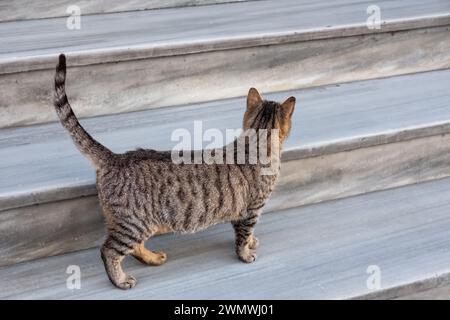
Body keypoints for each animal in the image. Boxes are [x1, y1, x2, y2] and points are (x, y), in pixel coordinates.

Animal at [52, 53, 296, 288]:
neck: (255, 143)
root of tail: (116, 158)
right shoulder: (251, 210)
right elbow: (244, 236)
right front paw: (245, 254)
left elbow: (249, 233)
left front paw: (252, 242)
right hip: (134, 224)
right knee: (108, 250)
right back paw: (120, 280)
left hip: (134, 222)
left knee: (132, 248)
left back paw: (152, 258)